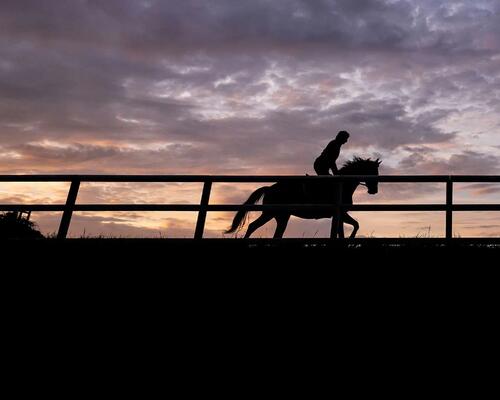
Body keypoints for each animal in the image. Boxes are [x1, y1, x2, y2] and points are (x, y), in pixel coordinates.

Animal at [225, 156, 380, 238]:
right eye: (373, 171)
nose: (374, 190)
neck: (343, 185)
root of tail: (269, 188)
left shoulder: (339, 214)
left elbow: (350, 227)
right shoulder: (340, 213)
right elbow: (353, 226)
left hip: (281, 216)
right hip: (271, 213)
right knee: (253, 226)